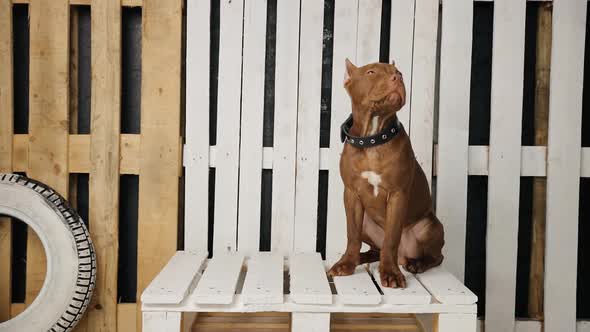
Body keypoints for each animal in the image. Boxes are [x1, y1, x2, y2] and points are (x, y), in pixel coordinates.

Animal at [326, 59, 446, 288]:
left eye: (398, 72)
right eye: (371, 72)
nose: (397, 78)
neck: (373, 138)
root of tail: (403, 256)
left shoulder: (397, 195)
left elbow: (391, 238)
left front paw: (390, 273)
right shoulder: (351, 194)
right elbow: (352, 234)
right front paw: (346, 263)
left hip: (430, 226)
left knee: (436, 256)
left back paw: (417, 264)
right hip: (366, 222)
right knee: (375, 248)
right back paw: (361, 257)